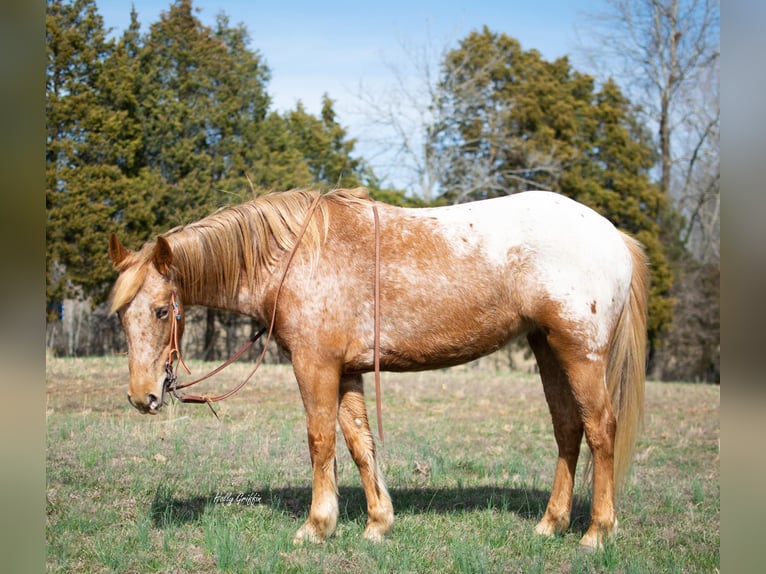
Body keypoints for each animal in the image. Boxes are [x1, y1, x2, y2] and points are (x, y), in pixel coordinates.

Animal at [108, 187, 648, 552]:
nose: (142, 396)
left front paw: (316, 526)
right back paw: (551, 524)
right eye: (120, 315)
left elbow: (320, 440)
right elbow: (358, 442)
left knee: (600, 429)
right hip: (547, 349)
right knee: (568, 430)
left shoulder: (315, 365)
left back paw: (596, 533)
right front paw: (377, 523)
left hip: (580, 353)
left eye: (161, 311)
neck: (293, 258)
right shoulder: (346, 370)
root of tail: (612, 236)